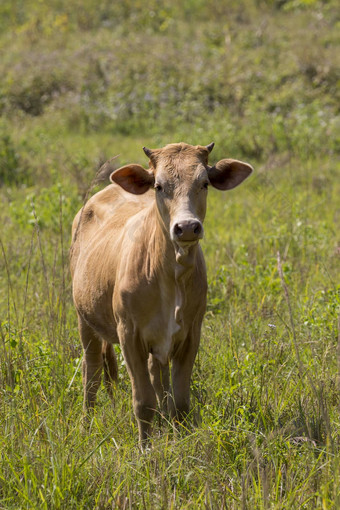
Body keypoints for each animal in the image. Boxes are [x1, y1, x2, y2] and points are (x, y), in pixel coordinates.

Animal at [71, 142, 252, 442]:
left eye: (204, 183)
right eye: (158, 186)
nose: (187, 227)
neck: (170, 276)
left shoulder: (190, 333)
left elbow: (179, 401)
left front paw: (180, 441)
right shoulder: (129, 334)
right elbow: (143, 402)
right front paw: (146, 449)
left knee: (156, 376)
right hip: (85, 320)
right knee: (92, 371)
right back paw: (86, 423)